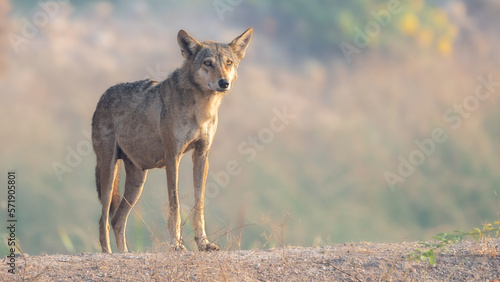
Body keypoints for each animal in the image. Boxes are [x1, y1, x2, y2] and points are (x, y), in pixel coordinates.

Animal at [91, 28, 252, 253]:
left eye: (228, 63)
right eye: (208, 63)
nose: (223, 83)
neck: (201, 109)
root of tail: (103, 96)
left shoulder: (201, 155)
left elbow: (199, 203)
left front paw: (203, 243)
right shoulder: (172, 156)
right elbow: (174, 205)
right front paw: (176, 244)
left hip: (137, 182)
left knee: (117, 220)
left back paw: (125, 253)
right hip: (108, 172)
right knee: (103, 220)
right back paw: (109, 254)